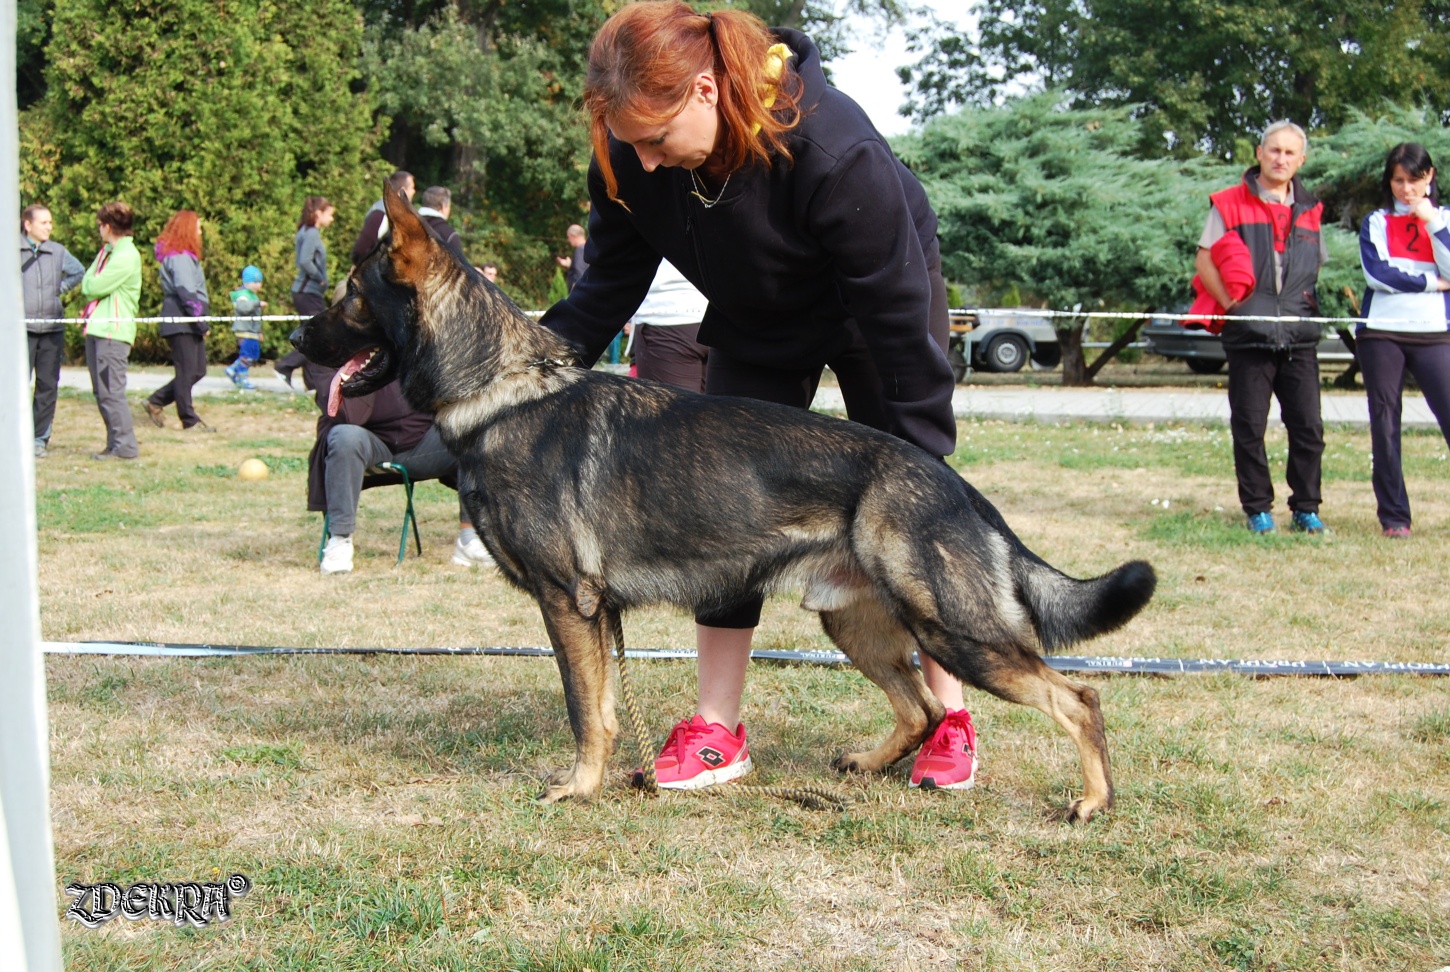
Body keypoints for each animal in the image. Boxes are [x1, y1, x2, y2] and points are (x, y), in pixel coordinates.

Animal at [294, 184, 1154, 824]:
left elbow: (582, 709)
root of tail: (954, 484)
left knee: (1076, 696)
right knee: (919, 710)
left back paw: (1091, 800)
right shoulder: (595, 615)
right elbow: (605, 707)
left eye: (349, 296)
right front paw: (603, 779)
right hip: (857, 625)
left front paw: (577, 788)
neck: (502, 393)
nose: (294, 345)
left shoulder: (568, 605)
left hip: (953, 630)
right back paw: (870, 763)